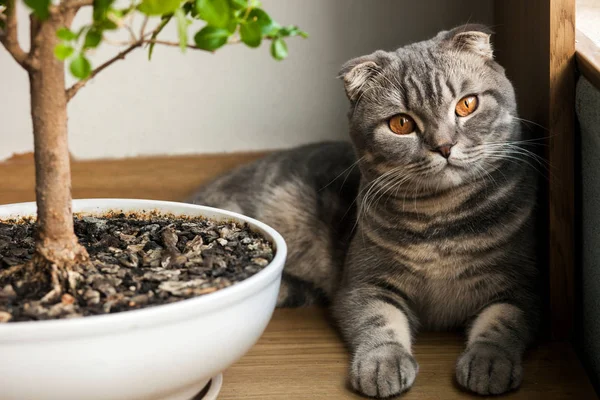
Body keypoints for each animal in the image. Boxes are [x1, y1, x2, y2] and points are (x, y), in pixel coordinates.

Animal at [190, 25, 540, 396]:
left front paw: (489, 363)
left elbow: (502, 323)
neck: (441, 218)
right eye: (401, 124)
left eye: (467, 104)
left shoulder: (523, 287)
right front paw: (382, 365)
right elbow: (379, 322)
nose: (444, 146)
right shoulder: (364, 283)